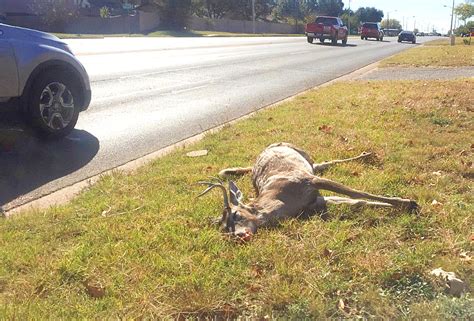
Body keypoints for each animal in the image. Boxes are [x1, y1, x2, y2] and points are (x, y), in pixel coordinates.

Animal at [198, 142, 416, 240]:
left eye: (236, 215)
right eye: (224, 229)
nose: (237, 236)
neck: (283, 201)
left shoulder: (309, 180)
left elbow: (357, 193)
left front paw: (408, 201)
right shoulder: (317, 202)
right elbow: (357, 201)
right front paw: (407, 205)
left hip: (306, 158)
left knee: (325, 162)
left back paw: (366, 154)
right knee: (324, 164)